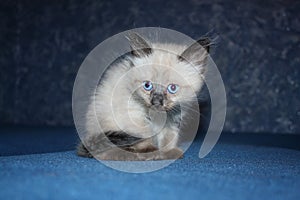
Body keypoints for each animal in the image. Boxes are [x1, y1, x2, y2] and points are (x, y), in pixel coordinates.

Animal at [76, 32, 210, 161]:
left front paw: (167, 153)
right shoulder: (134, 116)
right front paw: (151, 152)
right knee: (106, 153)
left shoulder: (173, 118)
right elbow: (144, 136)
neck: (157, 116)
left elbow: (168, 138)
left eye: (172, 88)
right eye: (147, 85)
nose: (156, 101)